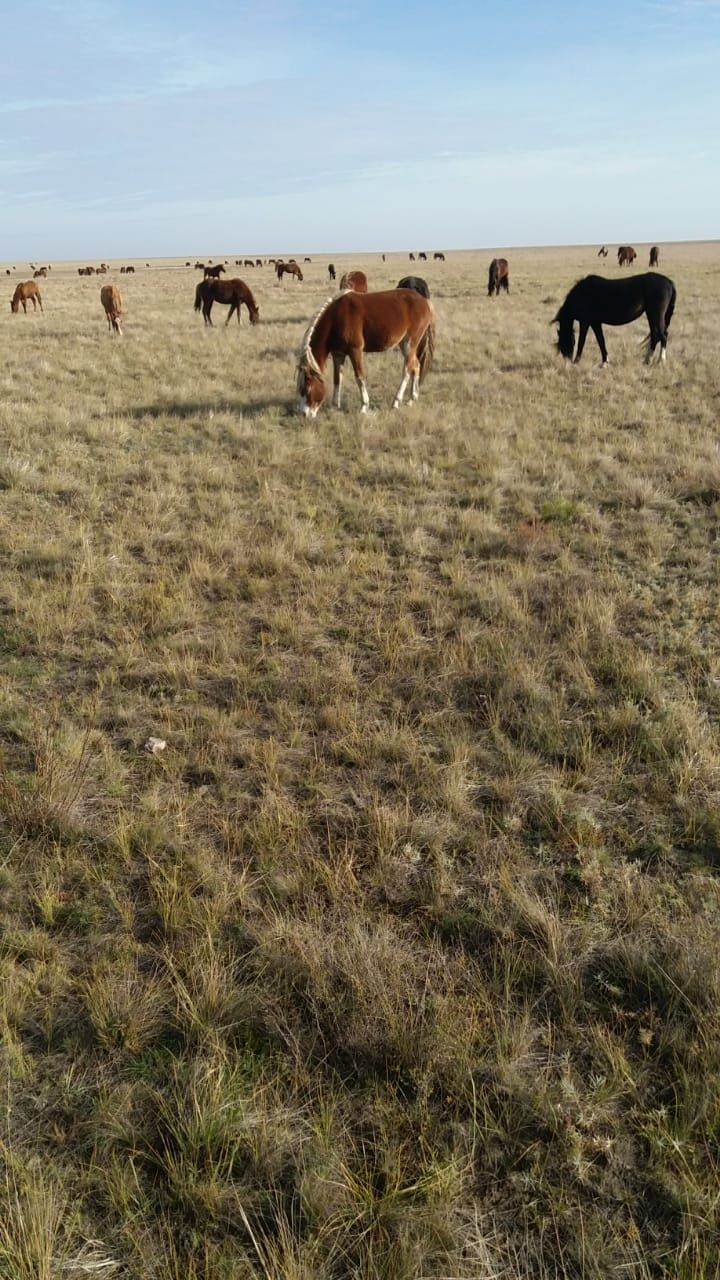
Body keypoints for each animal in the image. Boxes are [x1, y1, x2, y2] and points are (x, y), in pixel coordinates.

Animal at [294, 286, 435, 414]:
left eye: (306, 389)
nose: (304, 414)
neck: (336, 317)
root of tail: (424, 301)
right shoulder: (338, 354)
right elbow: (337, 378)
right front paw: (335, 406)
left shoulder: (355, 350)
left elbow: (359, 376)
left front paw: (364, 406)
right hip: (404, 344)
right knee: (416, 365)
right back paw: (412, 399)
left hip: (409, 343)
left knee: (407, 369)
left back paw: (396, 401)